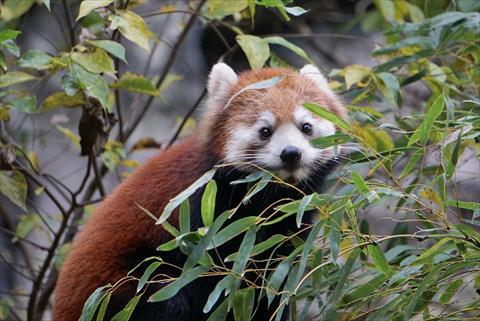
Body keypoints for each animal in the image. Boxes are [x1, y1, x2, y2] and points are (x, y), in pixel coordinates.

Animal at [53, 63, 348, 320]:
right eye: (265, 131)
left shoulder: (287, 230)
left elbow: (268, 288)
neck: (264, 196)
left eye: (306, 127)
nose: (291, 153)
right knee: (163, 297)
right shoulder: (203, 212)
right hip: (118, 291)